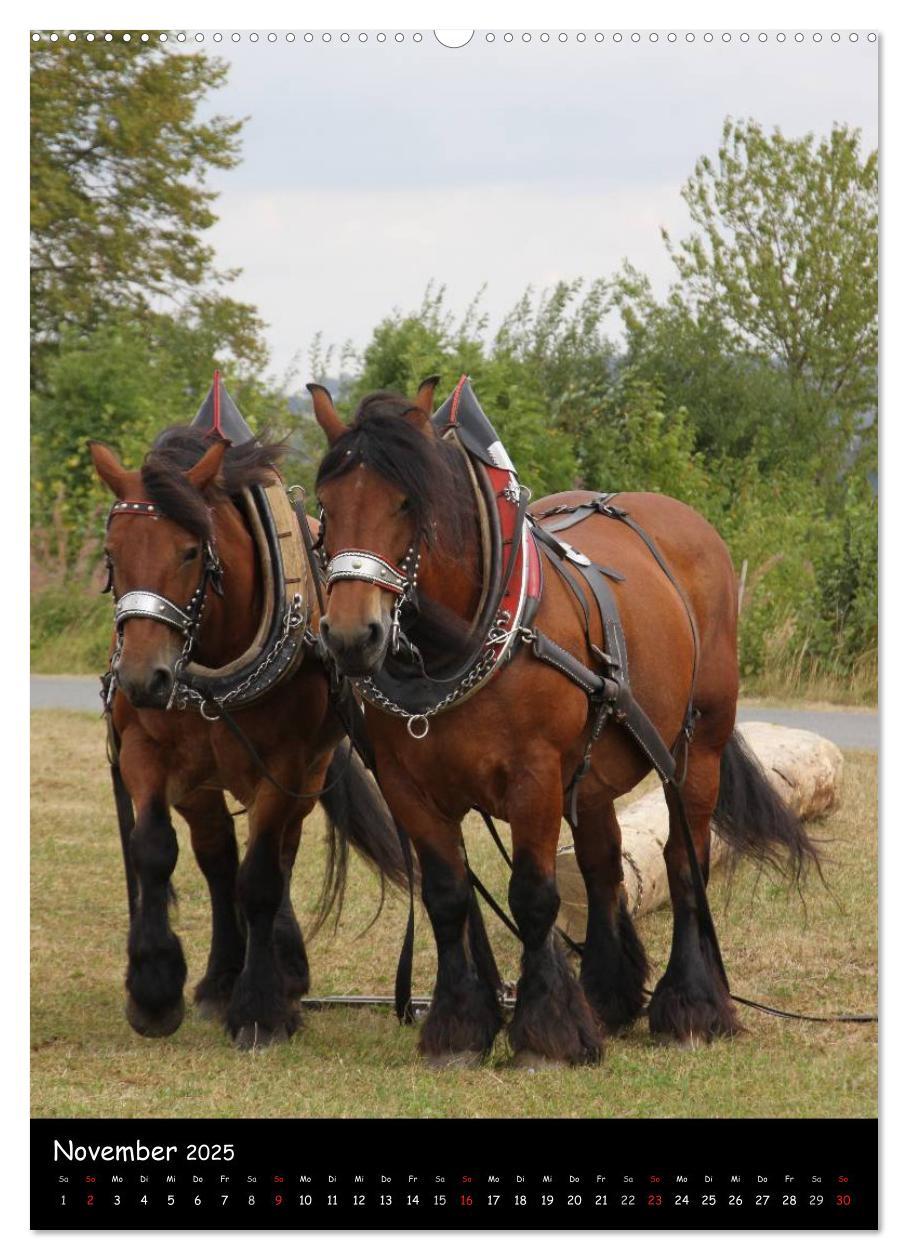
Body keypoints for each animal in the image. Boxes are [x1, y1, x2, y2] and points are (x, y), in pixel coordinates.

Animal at [91, 428, 402, 1048]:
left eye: (190, 551)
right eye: (112, 554)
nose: (141, 678)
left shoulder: (283, 766)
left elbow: (261, 878)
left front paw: (260, 1008)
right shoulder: (144, 752)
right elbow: (153, 849)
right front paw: (154, 989)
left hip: (305, 774)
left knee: (278, 855)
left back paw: (282, 973)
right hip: (201, 784)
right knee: (216, 860)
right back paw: (219, 979)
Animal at [308, 380, 811, 1063]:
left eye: (408, 502)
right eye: (325, 505)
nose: (352, 636)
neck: (458, 647)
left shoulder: (536, 776)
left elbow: (532, 895)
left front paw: (547, 1033)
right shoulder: (406, 786)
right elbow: (447, 896)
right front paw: (459, 1025)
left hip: (697, 747)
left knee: (684, 861)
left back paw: (691, 1006)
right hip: (593, 773)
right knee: (603, 865)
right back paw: (608, 994)